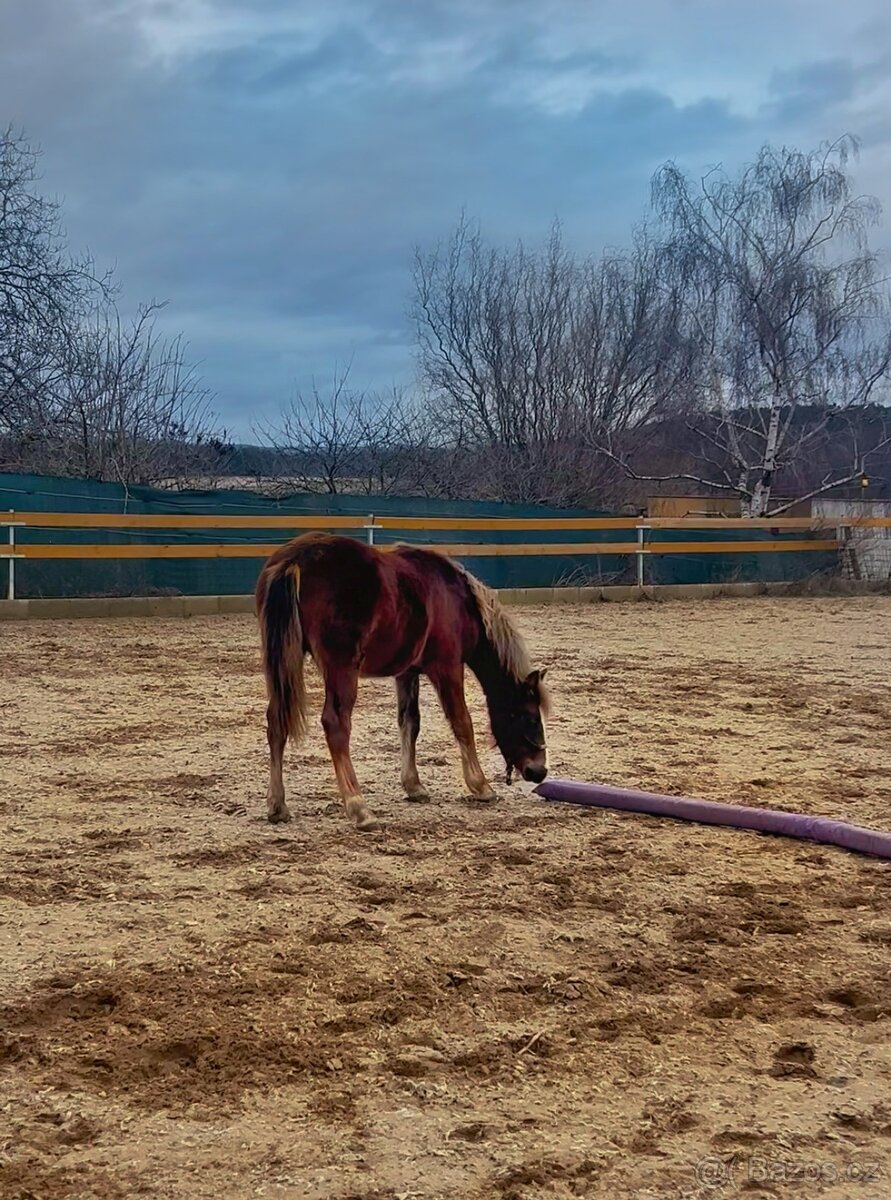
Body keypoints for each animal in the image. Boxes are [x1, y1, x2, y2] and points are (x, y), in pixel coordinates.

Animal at [255, 532, 549, 831]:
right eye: (531, 718)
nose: (539, 771)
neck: (458, 599)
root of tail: (294, 561)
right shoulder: (447, 668)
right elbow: (462, 723)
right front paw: (481, 786)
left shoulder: (407, 673)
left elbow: (410, 722)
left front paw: (414, 785)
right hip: (341, 669)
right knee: (336, 724)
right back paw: (359, 807)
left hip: (283, 661)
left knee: (276, 721)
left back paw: (277, 805)